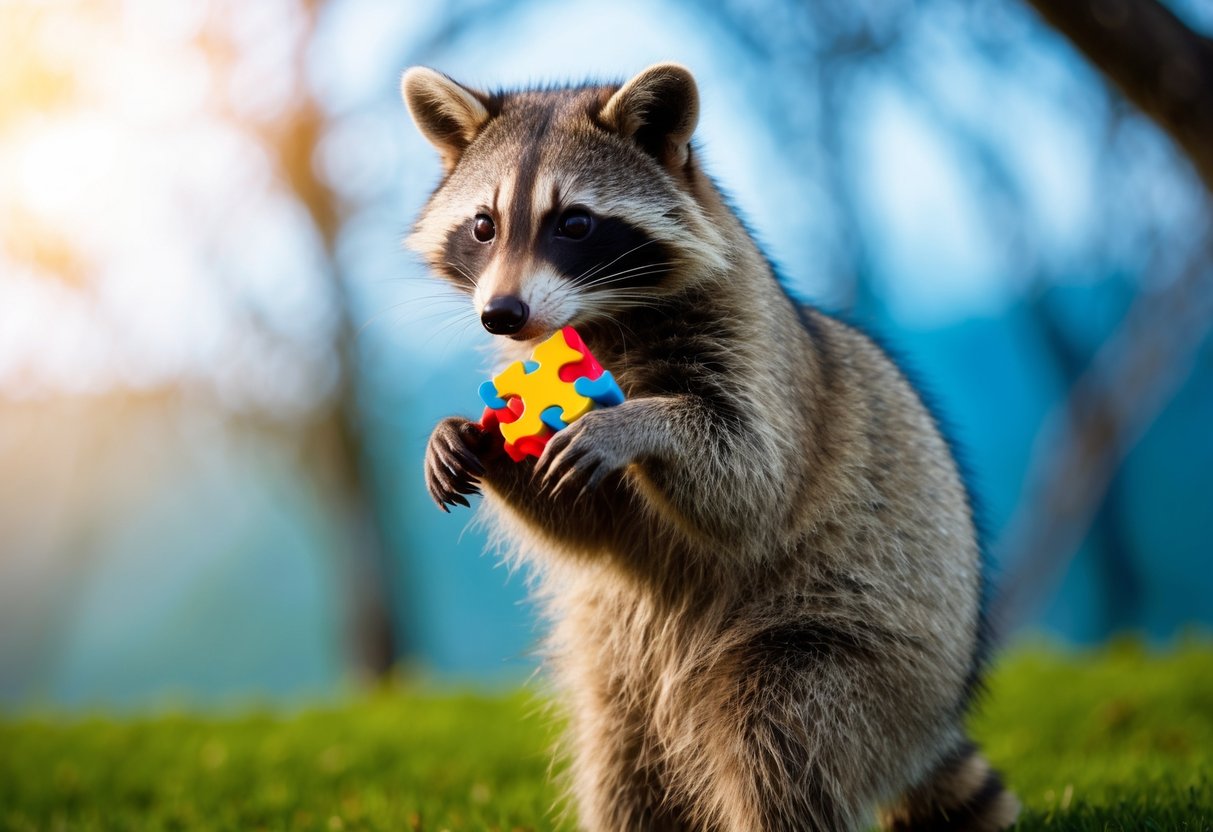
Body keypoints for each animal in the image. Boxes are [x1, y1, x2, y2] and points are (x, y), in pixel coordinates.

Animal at [402, 63, 1019, 832]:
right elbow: (595, 527)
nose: (501, 314)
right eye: (483, 226)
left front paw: (641, 424)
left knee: (779, 739)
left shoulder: (755, 346)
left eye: (574, 224)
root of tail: (932, 723)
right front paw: (469, 438)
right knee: (621, 773)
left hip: (857, 653)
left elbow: (749, 481)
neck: (598, 319)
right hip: (618, 679)